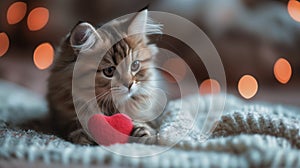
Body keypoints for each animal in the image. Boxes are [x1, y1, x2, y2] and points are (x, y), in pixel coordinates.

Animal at [47, 9, 164, 145]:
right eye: (109, 71)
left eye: (135, 65)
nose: (129, 84)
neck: (109, 106)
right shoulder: (61, 116)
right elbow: (73, 124)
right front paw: (81, 136)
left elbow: (141, 122)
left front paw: (145, 134)